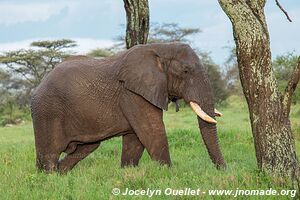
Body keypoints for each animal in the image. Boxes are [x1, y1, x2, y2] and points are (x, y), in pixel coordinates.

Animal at [30, 42, 226, 173]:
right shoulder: (133, 93)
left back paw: (60, 174)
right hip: (47, 111)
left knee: (87, 147)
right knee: (49, 154)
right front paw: (169, 174)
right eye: (185, 71)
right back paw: (48, 177)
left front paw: (128, 172)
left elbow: (135, 139)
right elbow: (152, 131)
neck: (161, 47)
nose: (223, 169)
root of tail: (39, 85)